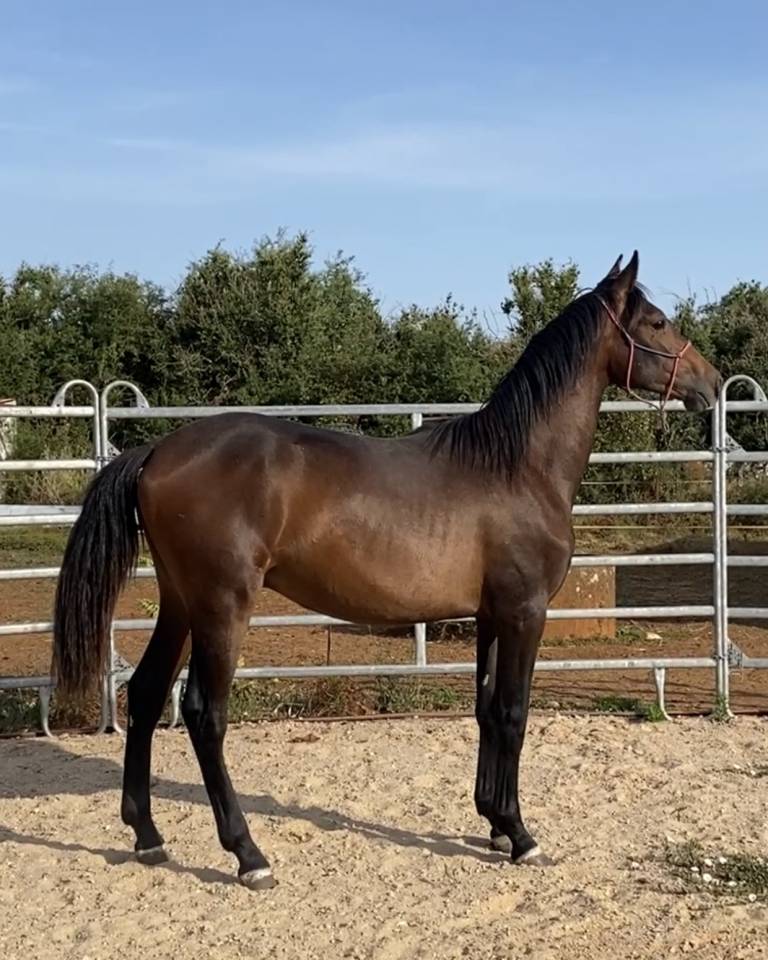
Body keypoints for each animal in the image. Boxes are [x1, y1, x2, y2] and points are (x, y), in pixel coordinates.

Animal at [52, 251, 721, 890]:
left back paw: (147, 836)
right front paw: (521, 836)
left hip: (180, 601)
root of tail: (156, 452)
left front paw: (492, 824)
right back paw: (248, 855)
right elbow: (513, 713)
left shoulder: (489, 615)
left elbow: (485, 709)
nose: (712, 383)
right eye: (656, 322)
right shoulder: (526, 611)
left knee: (145, 695)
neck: (516, 467)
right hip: (221, 606)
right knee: (202, 714)